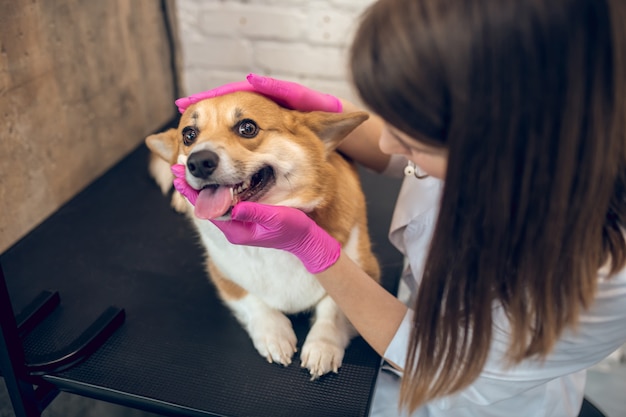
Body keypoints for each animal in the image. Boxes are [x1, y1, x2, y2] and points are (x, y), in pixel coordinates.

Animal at [145, 91, 380, 376]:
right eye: (189, 135)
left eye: (247, 128)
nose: (198, 163)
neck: (271, 244)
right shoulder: (222, 275)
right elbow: (252, 299)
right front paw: (273, 335)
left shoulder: (365, 269)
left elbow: (333, 307)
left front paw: (323, 345)